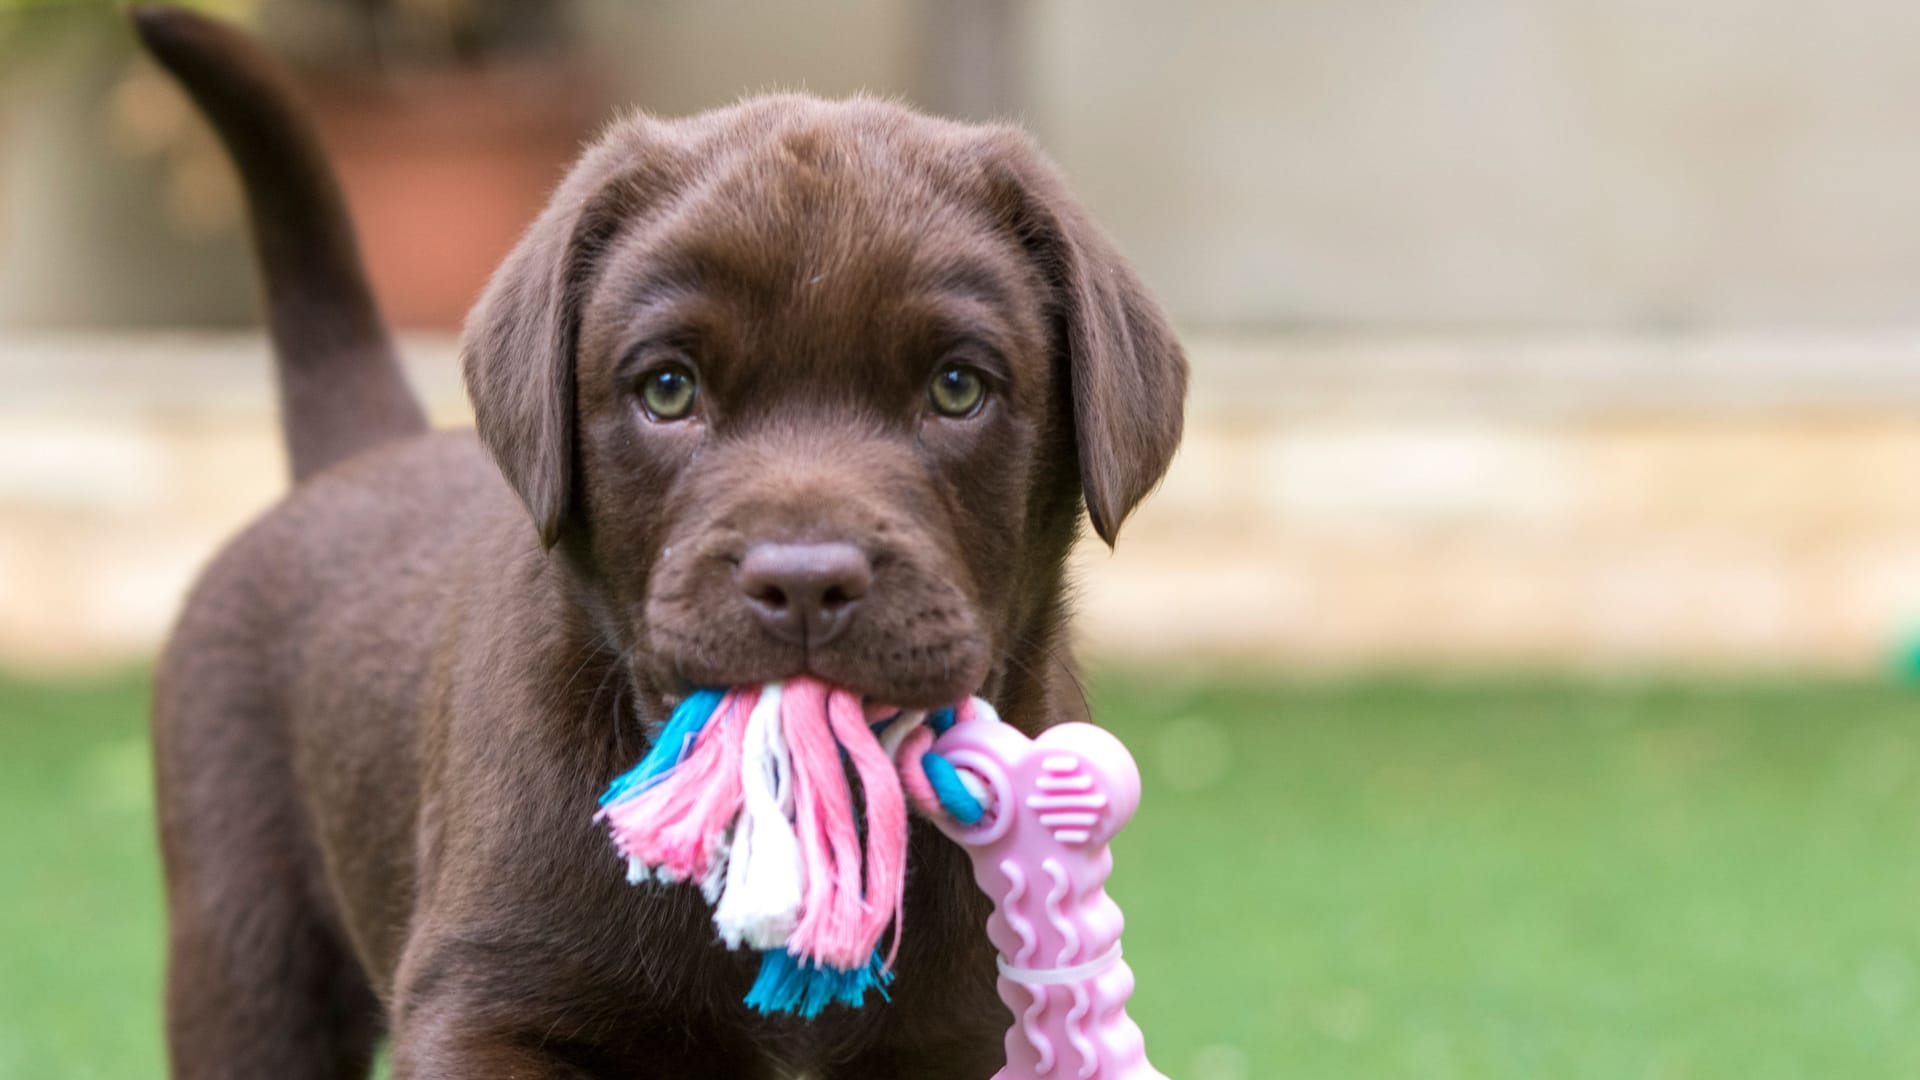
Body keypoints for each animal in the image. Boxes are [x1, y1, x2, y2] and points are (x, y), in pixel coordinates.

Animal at [139, 8, 1182, 1076]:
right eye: (669, 390)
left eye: (958, 387)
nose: (805, 583)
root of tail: (362, 450)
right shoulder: (484, 1000)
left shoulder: (966, 1030)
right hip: (244, 953)